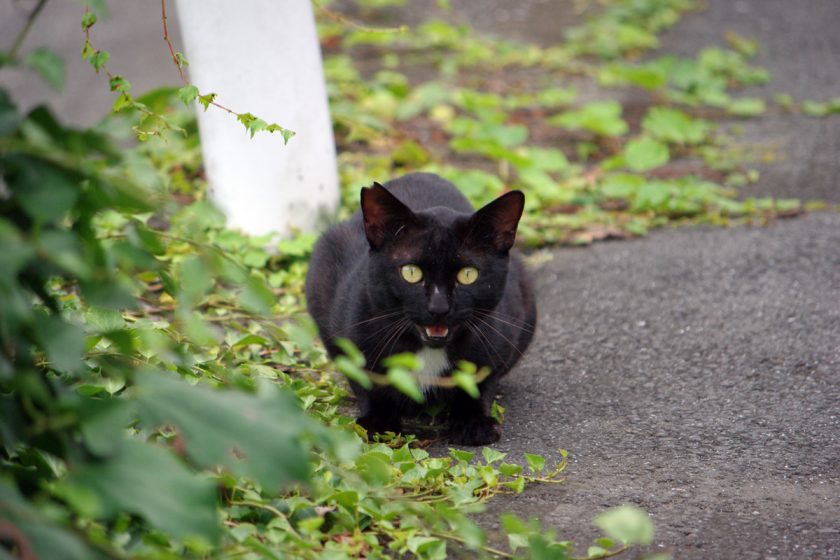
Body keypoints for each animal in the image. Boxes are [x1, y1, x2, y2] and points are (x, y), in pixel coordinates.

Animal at [306, 173, 536, 444]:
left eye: (468, 274)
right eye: (411, 272)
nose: (439, 308)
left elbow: (481, 380)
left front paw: (474, 422)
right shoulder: (349, 339)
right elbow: (367, 381)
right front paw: (377, 423)